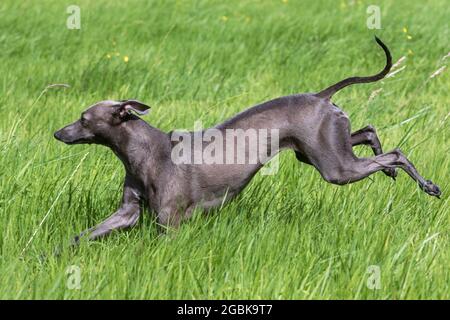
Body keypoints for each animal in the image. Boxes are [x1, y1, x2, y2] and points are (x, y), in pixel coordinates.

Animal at [54, 37, 442, 242]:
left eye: (83, 118)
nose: (57, 132)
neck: (143, 151)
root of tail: (321, 96)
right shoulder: (126, 214)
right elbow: (82, 235)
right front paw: (52, 253)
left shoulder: (169, 224)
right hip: (321, 150)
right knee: (370, 133)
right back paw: (387, 166)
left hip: (335, 168)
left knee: (396, 152)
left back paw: (428, 185)